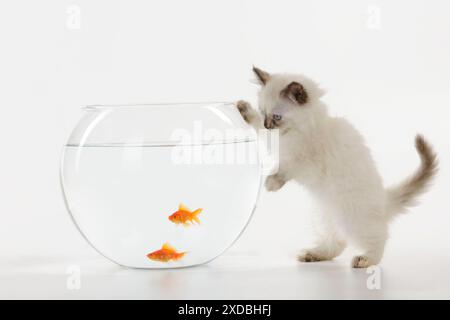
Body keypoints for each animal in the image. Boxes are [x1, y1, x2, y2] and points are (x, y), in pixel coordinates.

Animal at [237, 67, 438, 268]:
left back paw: (365, 259)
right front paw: (244, 110)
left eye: (277, 117)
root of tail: (383, 201)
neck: (297, 131)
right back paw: (314, 255)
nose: (267, 125)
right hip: (324, 216)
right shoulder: (278, 142)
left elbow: (284, 170)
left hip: (353, 217)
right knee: (337, 242)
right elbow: (260, 131)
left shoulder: (303, 162)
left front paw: (271, 184)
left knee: (379, 237)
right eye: (263, 113)